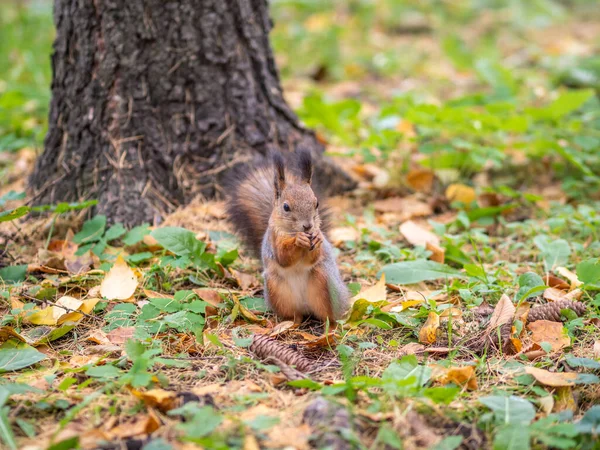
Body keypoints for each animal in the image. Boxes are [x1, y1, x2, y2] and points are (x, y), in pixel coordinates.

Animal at [225, 151, 350, 324]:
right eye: (286, 207)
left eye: (316, 203)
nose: (308, 226)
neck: (293, 231)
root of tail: (305, 306)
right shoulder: (274, 239)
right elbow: (283, 257)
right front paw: (298, 240)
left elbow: (313, 257)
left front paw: (317, 237)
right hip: (277, 290)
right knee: (294, 315)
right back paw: (289, 324)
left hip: (326, 283)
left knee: (328, 316)